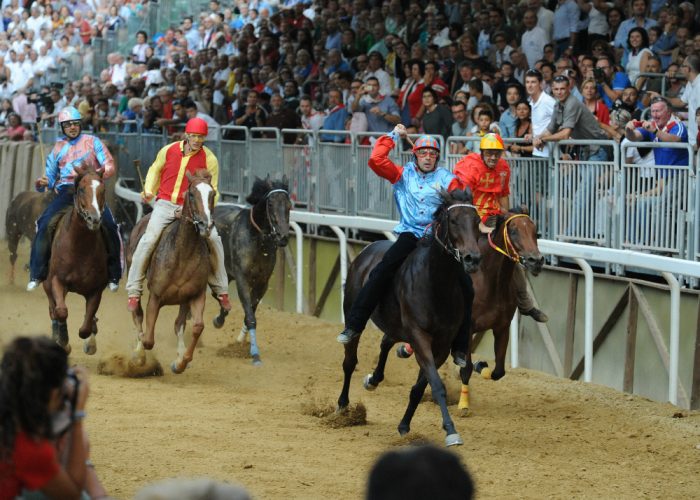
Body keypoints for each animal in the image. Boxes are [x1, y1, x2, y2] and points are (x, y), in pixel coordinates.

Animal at [43, 163, 108, 356]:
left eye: (103, 190)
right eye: (81, 190)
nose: (94, 219)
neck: (79, 248)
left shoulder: (96, 289)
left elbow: (86, 327)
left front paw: (90, 342)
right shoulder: (57, 280)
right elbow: (61, 311)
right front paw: (63, 342)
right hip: (47, 285)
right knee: (53, 310)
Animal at [124, 170, 215, 374]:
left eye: (212, 194)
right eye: (191, 194)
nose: (205, 225)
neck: (182, 254)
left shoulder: (196, 294)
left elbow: (197, 326)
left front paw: (180, 362)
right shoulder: (156, 296)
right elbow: (148, 339)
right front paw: (140, 355)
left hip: (184, 300)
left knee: (179, 324)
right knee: (137, 312)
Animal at [212, 174, 292, 366]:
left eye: (289, 205)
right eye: (270, 204)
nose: (283, 237)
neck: (257, 239)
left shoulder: (262, 282)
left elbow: (250, 312)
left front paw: (241, 341)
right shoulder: (242, 278)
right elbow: (250, 316)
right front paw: (255, 354)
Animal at [338, 189, 482, 448]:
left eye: (477, 221)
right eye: (454, 220)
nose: (472, 258)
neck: (436, 284)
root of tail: (366, 250)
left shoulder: (441, 344)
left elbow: (421, 386)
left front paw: (404, 425)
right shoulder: (419, 335)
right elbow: (437, 385)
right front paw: (451, 431)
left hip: (396, 325)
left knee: (386, 341)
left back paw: (374, 379)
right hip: (353, 311)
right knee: (350, 360)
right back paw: (343, 406)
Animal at [454, 207, 548, 414]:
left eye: (535, 231)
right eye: (513, 231)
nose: (536, 260)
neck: (490, 282)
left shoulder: (502, 327)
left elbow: (498, 371)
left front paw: (481, 365)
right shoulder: (468, 328)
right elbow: (466, 368)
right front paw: (463, 404)